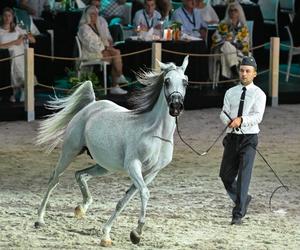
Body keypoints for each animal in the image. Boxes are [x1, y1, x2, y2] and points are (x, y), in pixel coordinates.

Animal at [35, 55, 189, 245]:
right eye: (167, 81)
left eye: (185, 82)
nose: (176, 106)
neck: (156, 133)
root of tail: (91, 105)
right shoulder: (133, 166)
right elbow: (144, 193)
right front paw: (137, 232)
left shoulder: (152, 172)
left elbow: (126, 199)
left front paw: (108, 234)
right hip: (69, 151)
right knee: (54, 179)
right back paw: (39, 219)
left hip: (104, 166)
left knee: (80, 175)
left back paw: (81, 208)